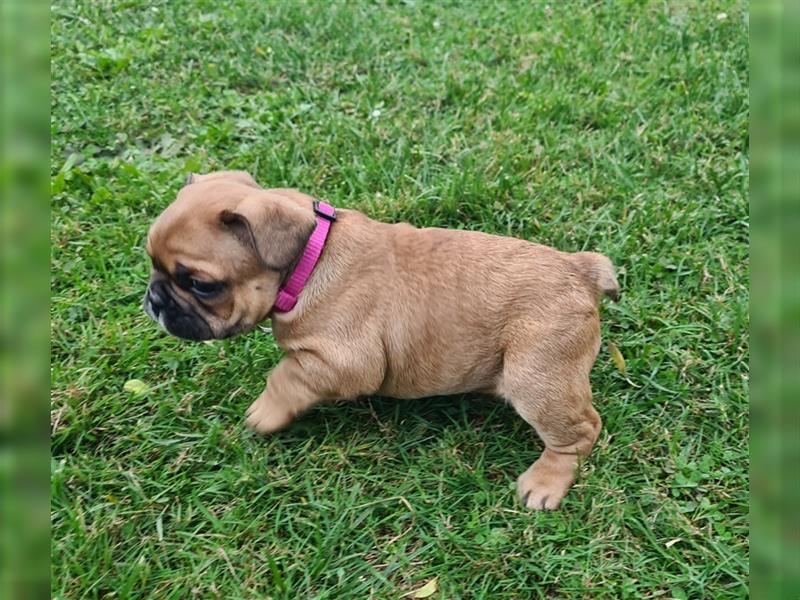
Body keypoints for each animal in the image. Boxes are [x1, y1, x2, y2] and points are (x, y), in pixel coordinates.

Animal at [145, 170, 620, 510]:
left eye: (202, 284)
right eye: (151, 262)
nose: (153, 299)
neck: (310, 259)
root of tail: (582, 271)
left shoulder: (345, 362)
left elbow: (285, 375)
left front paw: (265, 412)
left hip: (537, 377)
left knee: (581, 430)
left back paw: (545, 482)